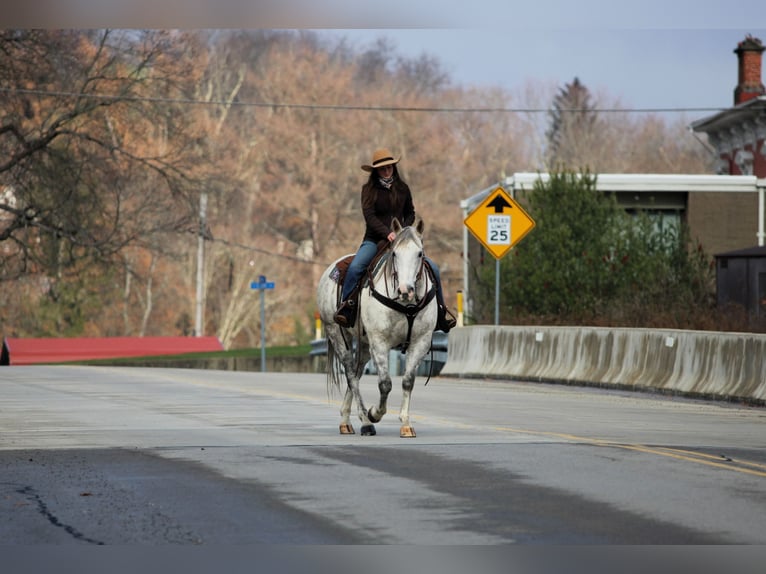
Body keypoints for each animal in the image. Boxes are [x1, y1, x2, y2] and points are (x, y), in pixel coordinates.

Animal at [316, 216, 438, 438]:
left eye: (420, 253)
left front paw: (406, 424)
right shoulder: (380, 342)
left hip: (365, 344)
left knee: (356, 374)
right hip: (337, 334)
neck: (406, 305)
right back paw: (365, 422)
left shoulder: (421, 342)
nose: (405, 290)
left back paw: (346, 420)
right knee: (351, 375)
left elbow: (408, 381)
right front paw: (374, 414)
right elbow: (385, 384)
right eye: (395, 253)